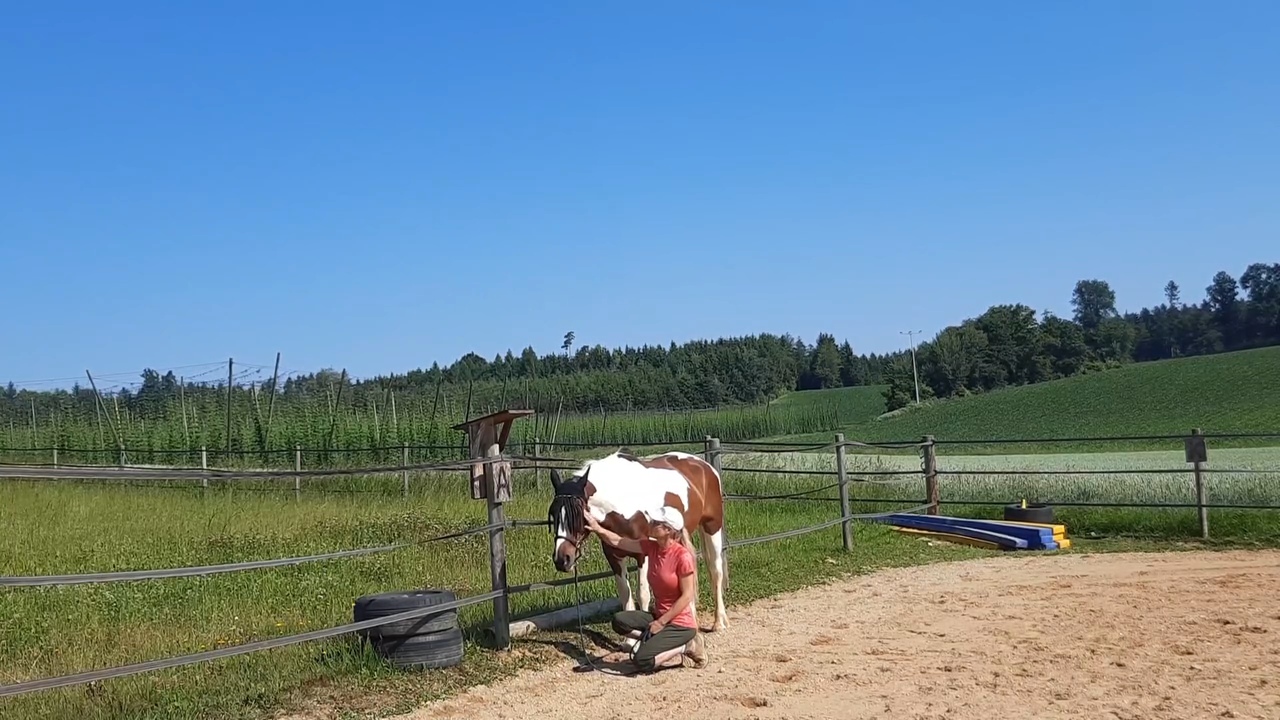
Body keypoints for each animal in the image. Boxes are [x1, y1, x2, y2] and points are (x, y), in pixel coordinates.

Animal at [547, 449, 730, 632]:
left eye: (578, 514)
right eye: (553, 513)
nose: (562, 559)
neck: (623, 502)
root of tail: (705, 466)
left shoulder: (643, 555)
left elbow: (643, 595)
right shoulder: (614, 557)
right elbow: (625, 597)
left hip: (712, 527)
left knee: (716, 571)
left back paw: (719, 622)